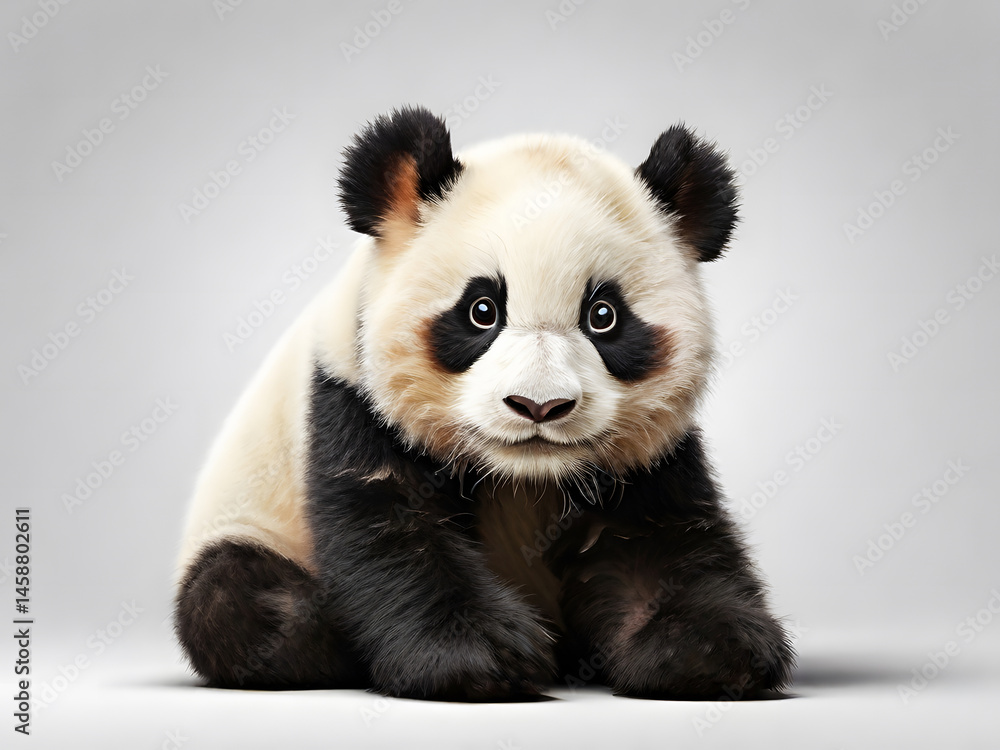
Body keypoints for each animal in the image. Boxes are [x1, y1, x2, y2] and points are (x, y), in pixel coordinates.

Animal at [174, 105, 795, 701]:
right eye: (481, 310)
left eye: (604, 315)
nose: (539, 406)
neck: (523, 475)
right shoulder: (351, 397)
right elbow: (393, 531)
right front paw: (482, 658)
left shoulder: (646, 457)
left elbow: (657, 541)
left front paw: (706, 651)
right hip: (246, 521)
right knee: (236, 599)